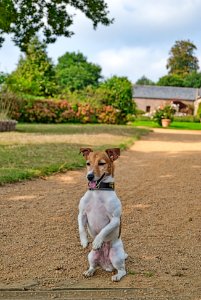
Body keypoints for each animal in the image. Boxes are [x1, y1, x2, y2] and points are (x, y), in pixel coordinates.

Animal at [77, 148, 126, 282]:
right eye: (88, 163)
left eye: (101, 163)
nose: (89, 177)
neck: (98, 192)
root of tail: (106, 265)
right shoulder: (81, 214)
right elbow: (81, 228)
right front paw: (84, 241)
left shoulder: (115, 219)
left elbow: (104, 230)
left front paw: (97, 242)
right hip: (91, 255)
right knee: (93, 266)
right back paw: (89, 272)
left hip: (116, 256)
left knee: (123, 270)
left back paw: (117, 276)